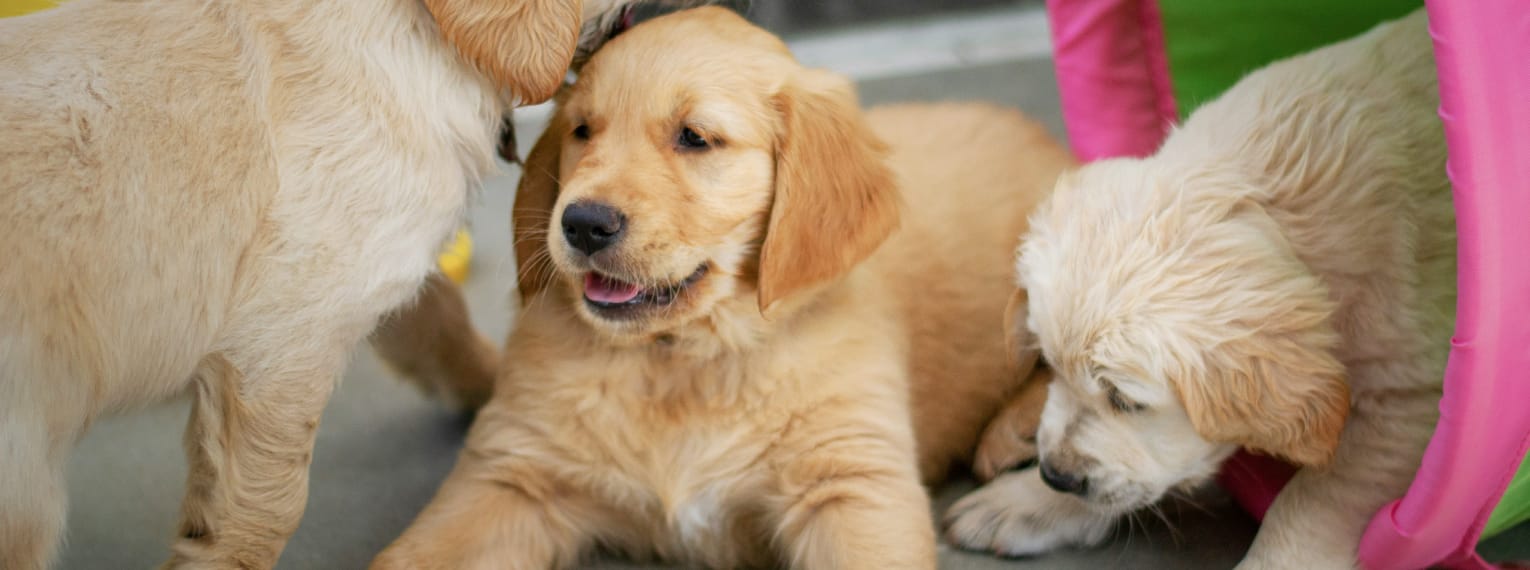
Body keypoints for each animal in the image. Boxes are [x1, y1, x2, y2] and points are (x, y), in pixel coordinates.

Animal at [0, 0, 712, 565]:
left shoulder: (382, 264)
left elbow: (439, 321)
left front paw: (493, 384)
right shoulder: (283, 344)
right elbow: (264, 508)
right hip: (27, 479)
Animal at [374, 5, 1071, 568]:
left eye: (695, 137)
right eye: (582, 131)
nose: (582, 223)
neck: (682, 359)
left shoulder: (852, 482)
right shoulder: (510, 475)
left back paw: (1014, 437)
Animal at [942, 9, 1456, 568]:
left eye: (1125, 400)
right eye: (1050, 366)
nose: (1056, 475)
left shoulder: (1410, 397)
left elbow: (1320, 495)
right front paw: (1025, 501)